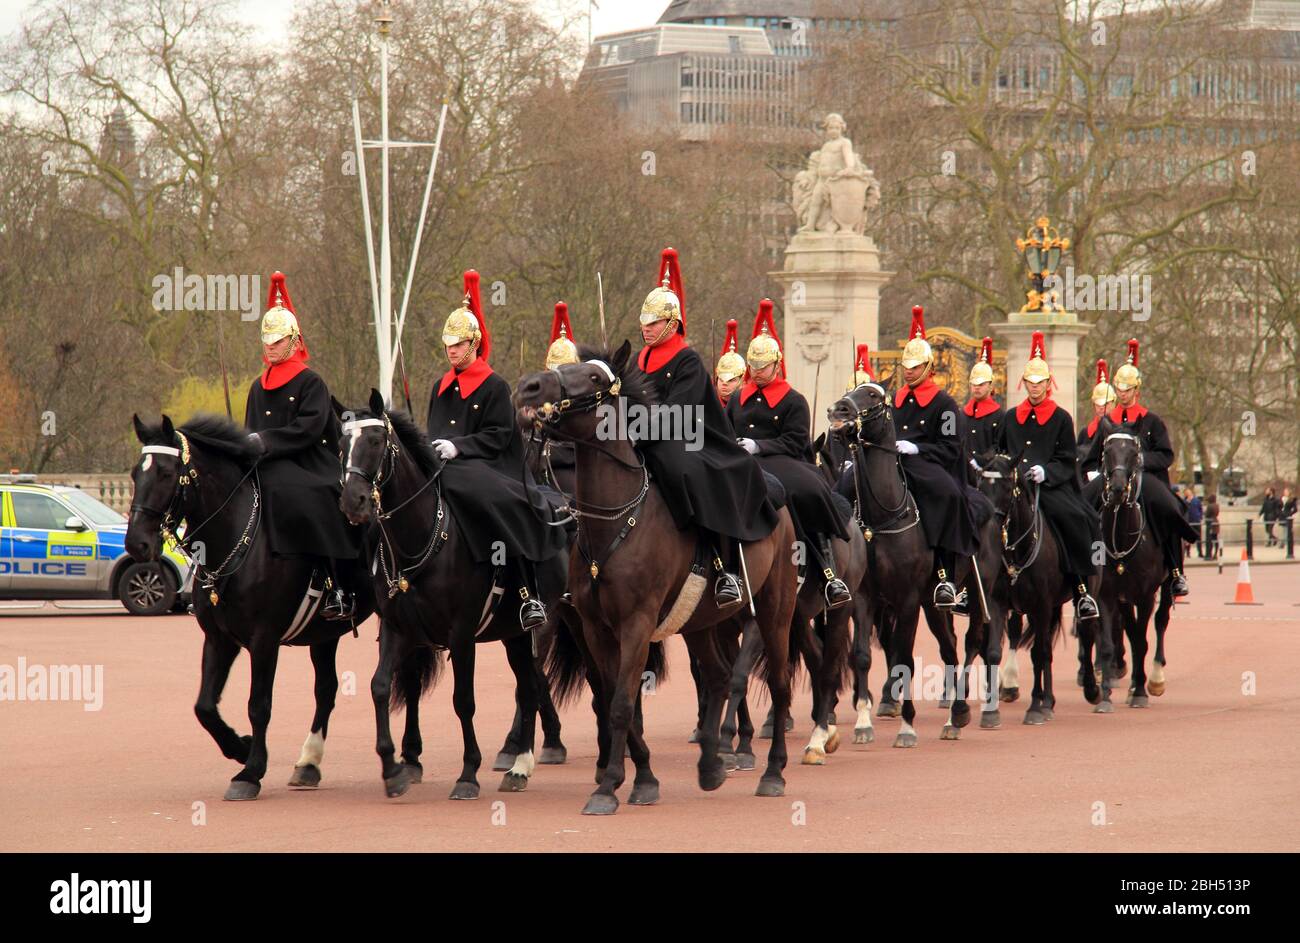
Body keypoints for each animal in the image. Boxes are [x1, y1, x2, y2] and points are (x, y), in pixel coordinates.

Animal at [126, 416, 374, 796]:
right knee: (326, 689)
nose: (136, 543)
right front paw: (240, 748)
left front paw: (251, 770)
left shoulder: (264, 640)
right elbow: (204, 706)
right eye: (134, 474)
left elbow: (258, 705)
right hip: (325, 634)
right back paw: (309, 763)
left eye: (167, 473)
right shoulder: (219, 639)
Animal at [335, 390, 564, 796]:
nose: (353, 502)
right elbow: (381, 687)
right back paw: (519, 763)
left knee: (533, 686)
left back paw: (522, 765)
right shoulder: (397, 628)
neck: (422, 535)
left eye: (376, 441)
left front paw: (468, 773)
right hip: (513, 634)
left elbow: (463, 701)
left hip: (540, 627)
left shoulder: (461, 634)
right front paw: (393, 768)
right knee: (528, 686)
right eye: (341, 445)